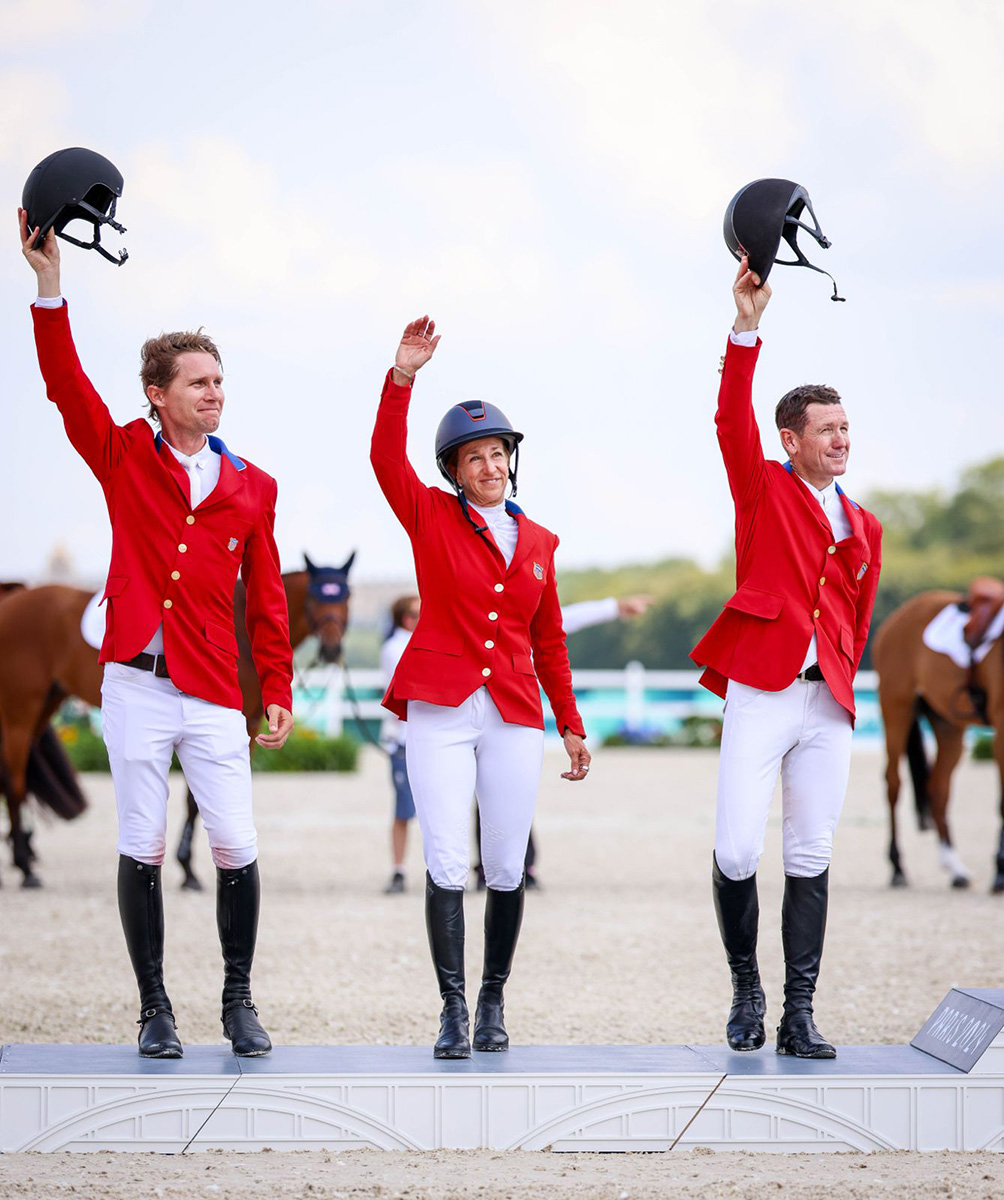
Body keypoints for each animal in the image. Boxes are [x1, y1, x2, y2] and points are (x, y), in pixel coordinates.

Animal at [0, 554, 357, 892]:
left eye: (346, 596)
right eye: (315, 597)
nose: (332, 649)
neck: (242, 630)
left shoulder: (249, 725)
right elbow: (193, 801)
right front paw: (188, 870)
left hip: (46, 704)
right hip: (20, 710)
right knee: (14, 783)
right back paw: (26, 868)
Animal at [868, 590, 1002, 892]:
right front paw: (1000, 873)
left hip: (947, 724)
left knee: (938, 788)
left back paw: (956, 869)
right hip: (897, 708)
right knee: (893, 784)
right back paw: (898, 868)